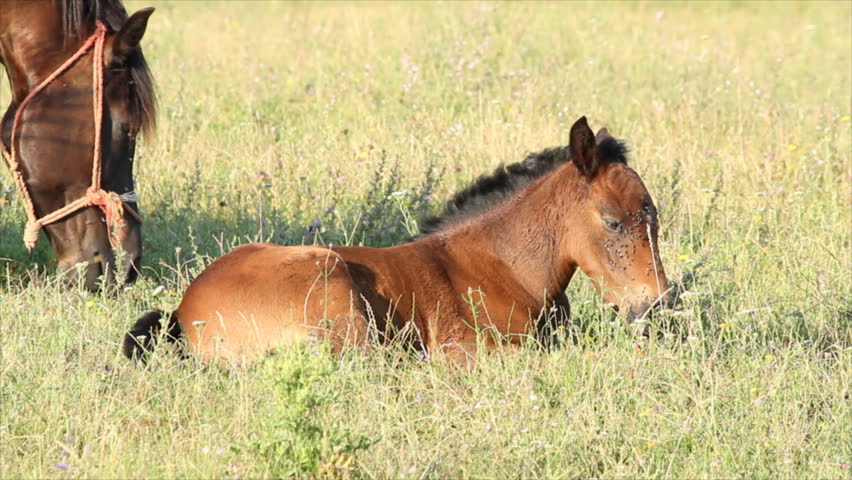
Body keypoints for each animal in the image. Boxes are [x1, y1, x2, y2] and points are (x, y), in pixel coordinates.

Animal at [124, 117, 671, 364]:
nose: (657, 307)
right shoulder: (474, 348)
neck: (505, 267)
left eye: (655, 217)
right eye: (614, 223)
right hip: (334, 288)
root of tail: (182, 311)